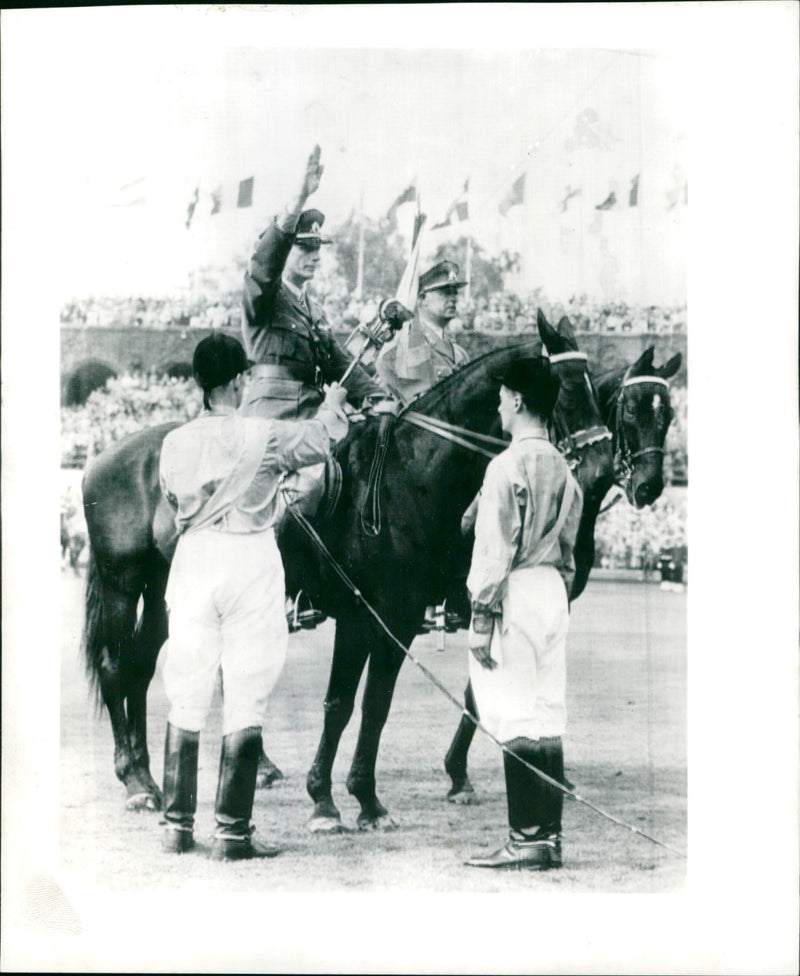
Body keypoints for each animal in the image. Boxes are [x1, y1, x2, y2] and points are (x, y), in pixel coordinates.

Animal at [81, 326, 608, 824]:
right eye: (564, 388)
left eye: (593, 387)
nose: (599, 467)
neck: (410, 472)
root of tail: (103, 457)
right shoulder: (363, 616)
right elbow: (343, 704)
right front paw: (329, 800)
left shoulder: (399, 619)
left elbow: (375, 704)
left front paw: (363, 799)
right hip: (122, 585)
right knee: (115, 666)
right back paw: (134, 780)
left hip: (165, 593)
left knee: (140, 667)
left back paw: (148, 775)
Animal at [444, 336, 680, 800]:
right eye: (632, 409)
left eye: (670, 415)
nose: (649, 486)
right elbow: (481, 687)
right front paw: (459, 770)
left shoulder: (560, 600)